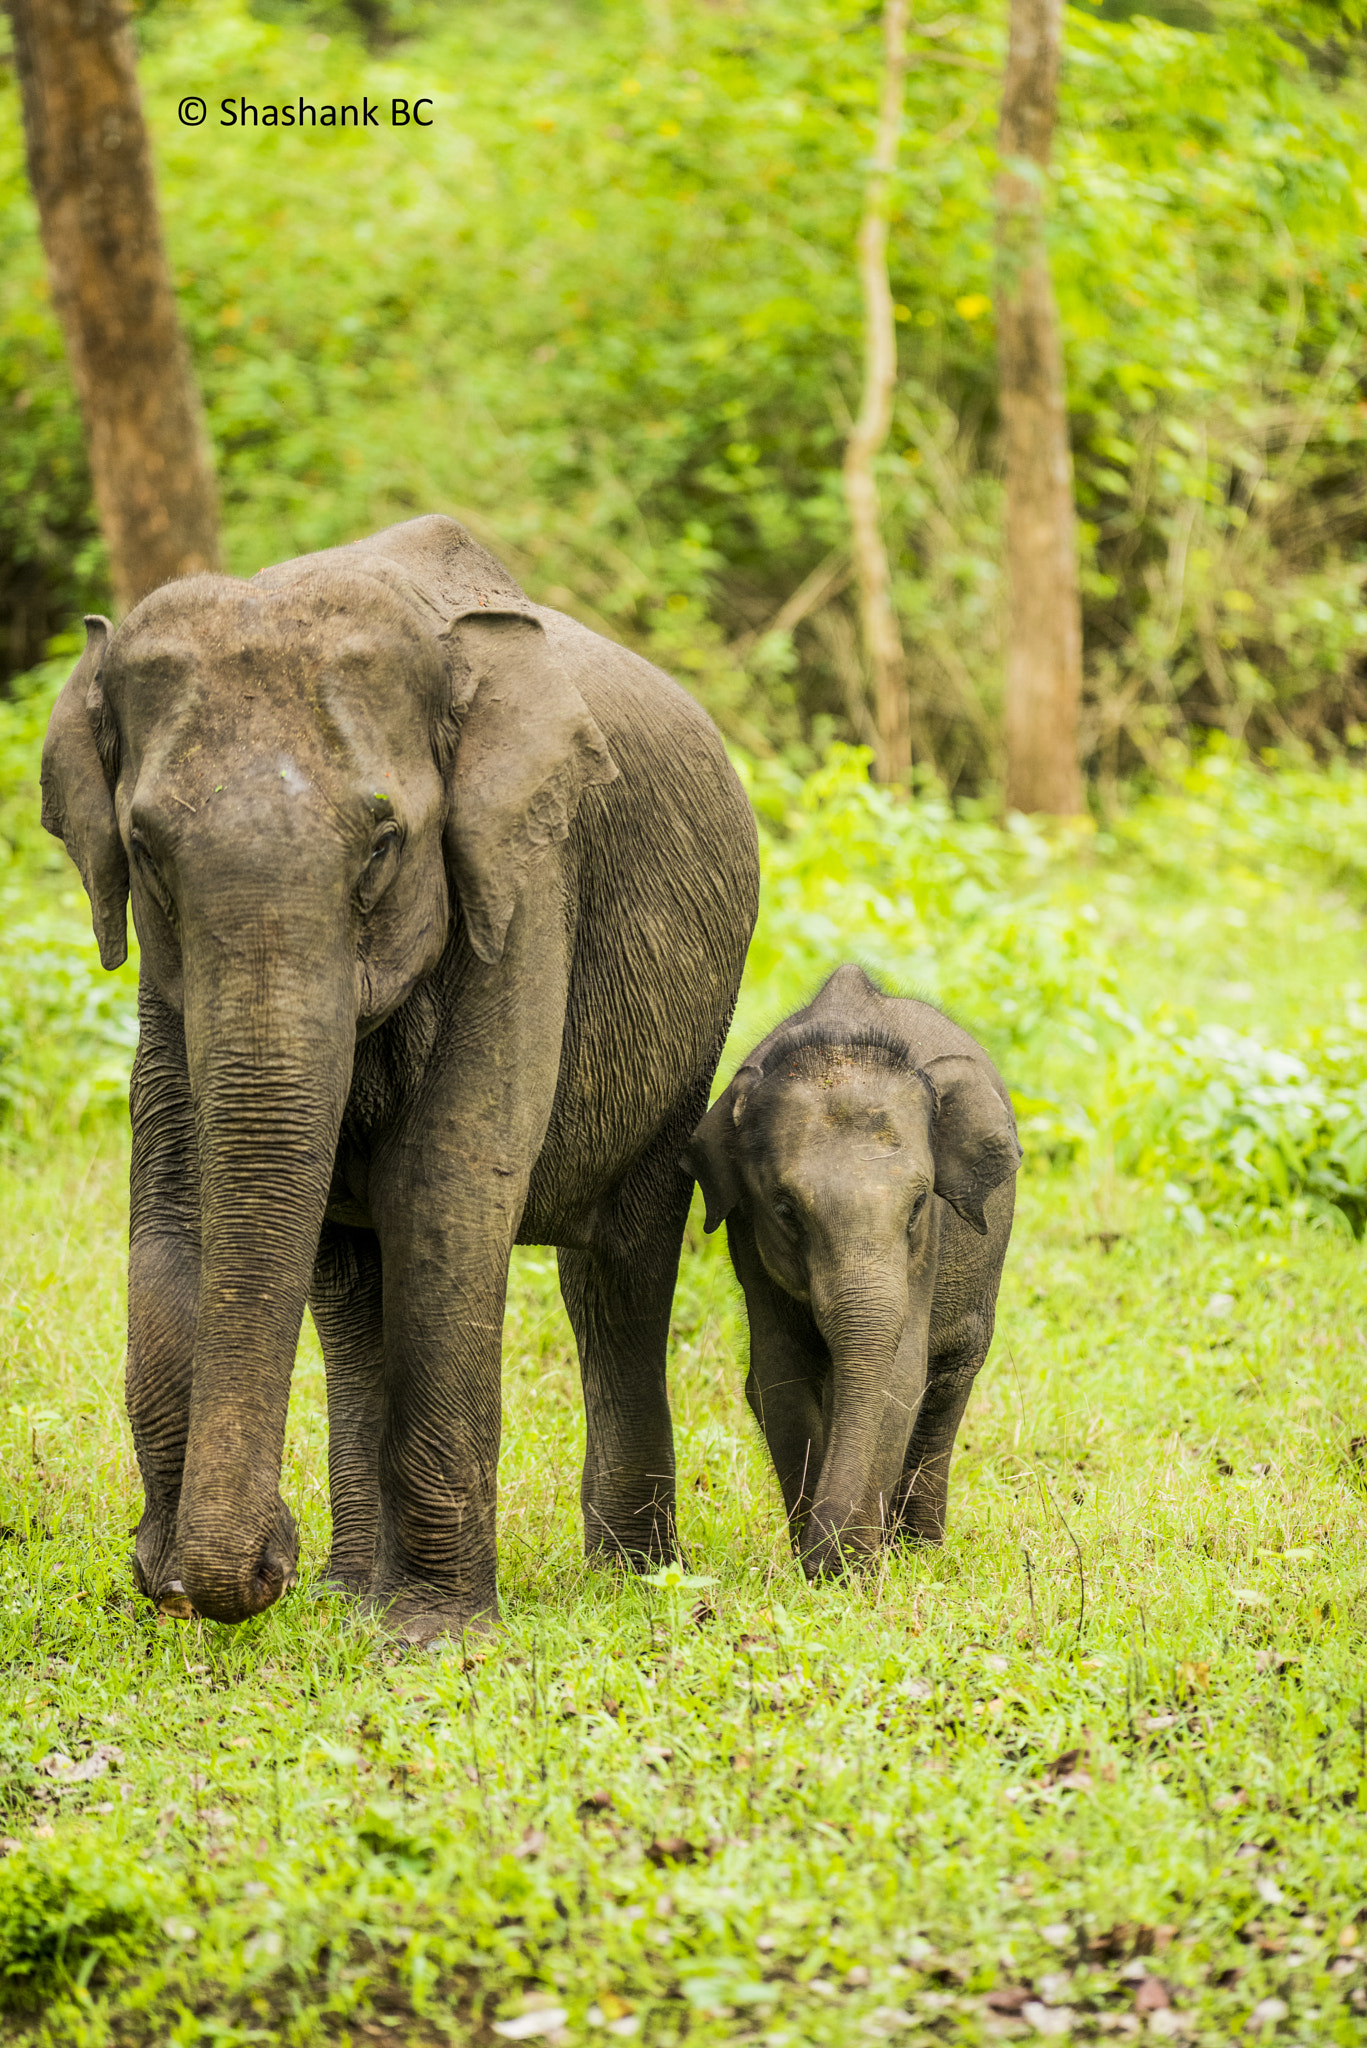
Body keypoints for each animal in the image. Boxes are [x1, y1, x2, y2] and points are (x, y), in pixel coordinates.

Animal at [40, 516, 758, 1646]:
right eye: (145, 848)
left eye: (383, 843)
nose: (267, 1558)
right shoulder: (167, 975)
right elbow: (177, 1198)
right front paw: (198, 1582)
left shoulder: (525, 877)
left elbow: (444, 1191)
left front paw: (433, 1638)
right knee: (348, 1287)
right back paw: (351, 1590)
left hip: (688, 1035)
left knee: (620, 1272)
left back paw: (633, 1580)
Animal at [684, 966, 1016, 1572]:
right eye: (785, 1210)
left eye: (917, 1205)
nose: (825, 1558)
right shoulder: (748, 1236)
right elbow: (779, 1377)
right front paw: (823, 1565)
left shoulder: (927, 1247)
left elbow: (901, 1378)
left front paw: (848, 1567)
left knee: (950, 1380)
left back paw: (920, 1551)